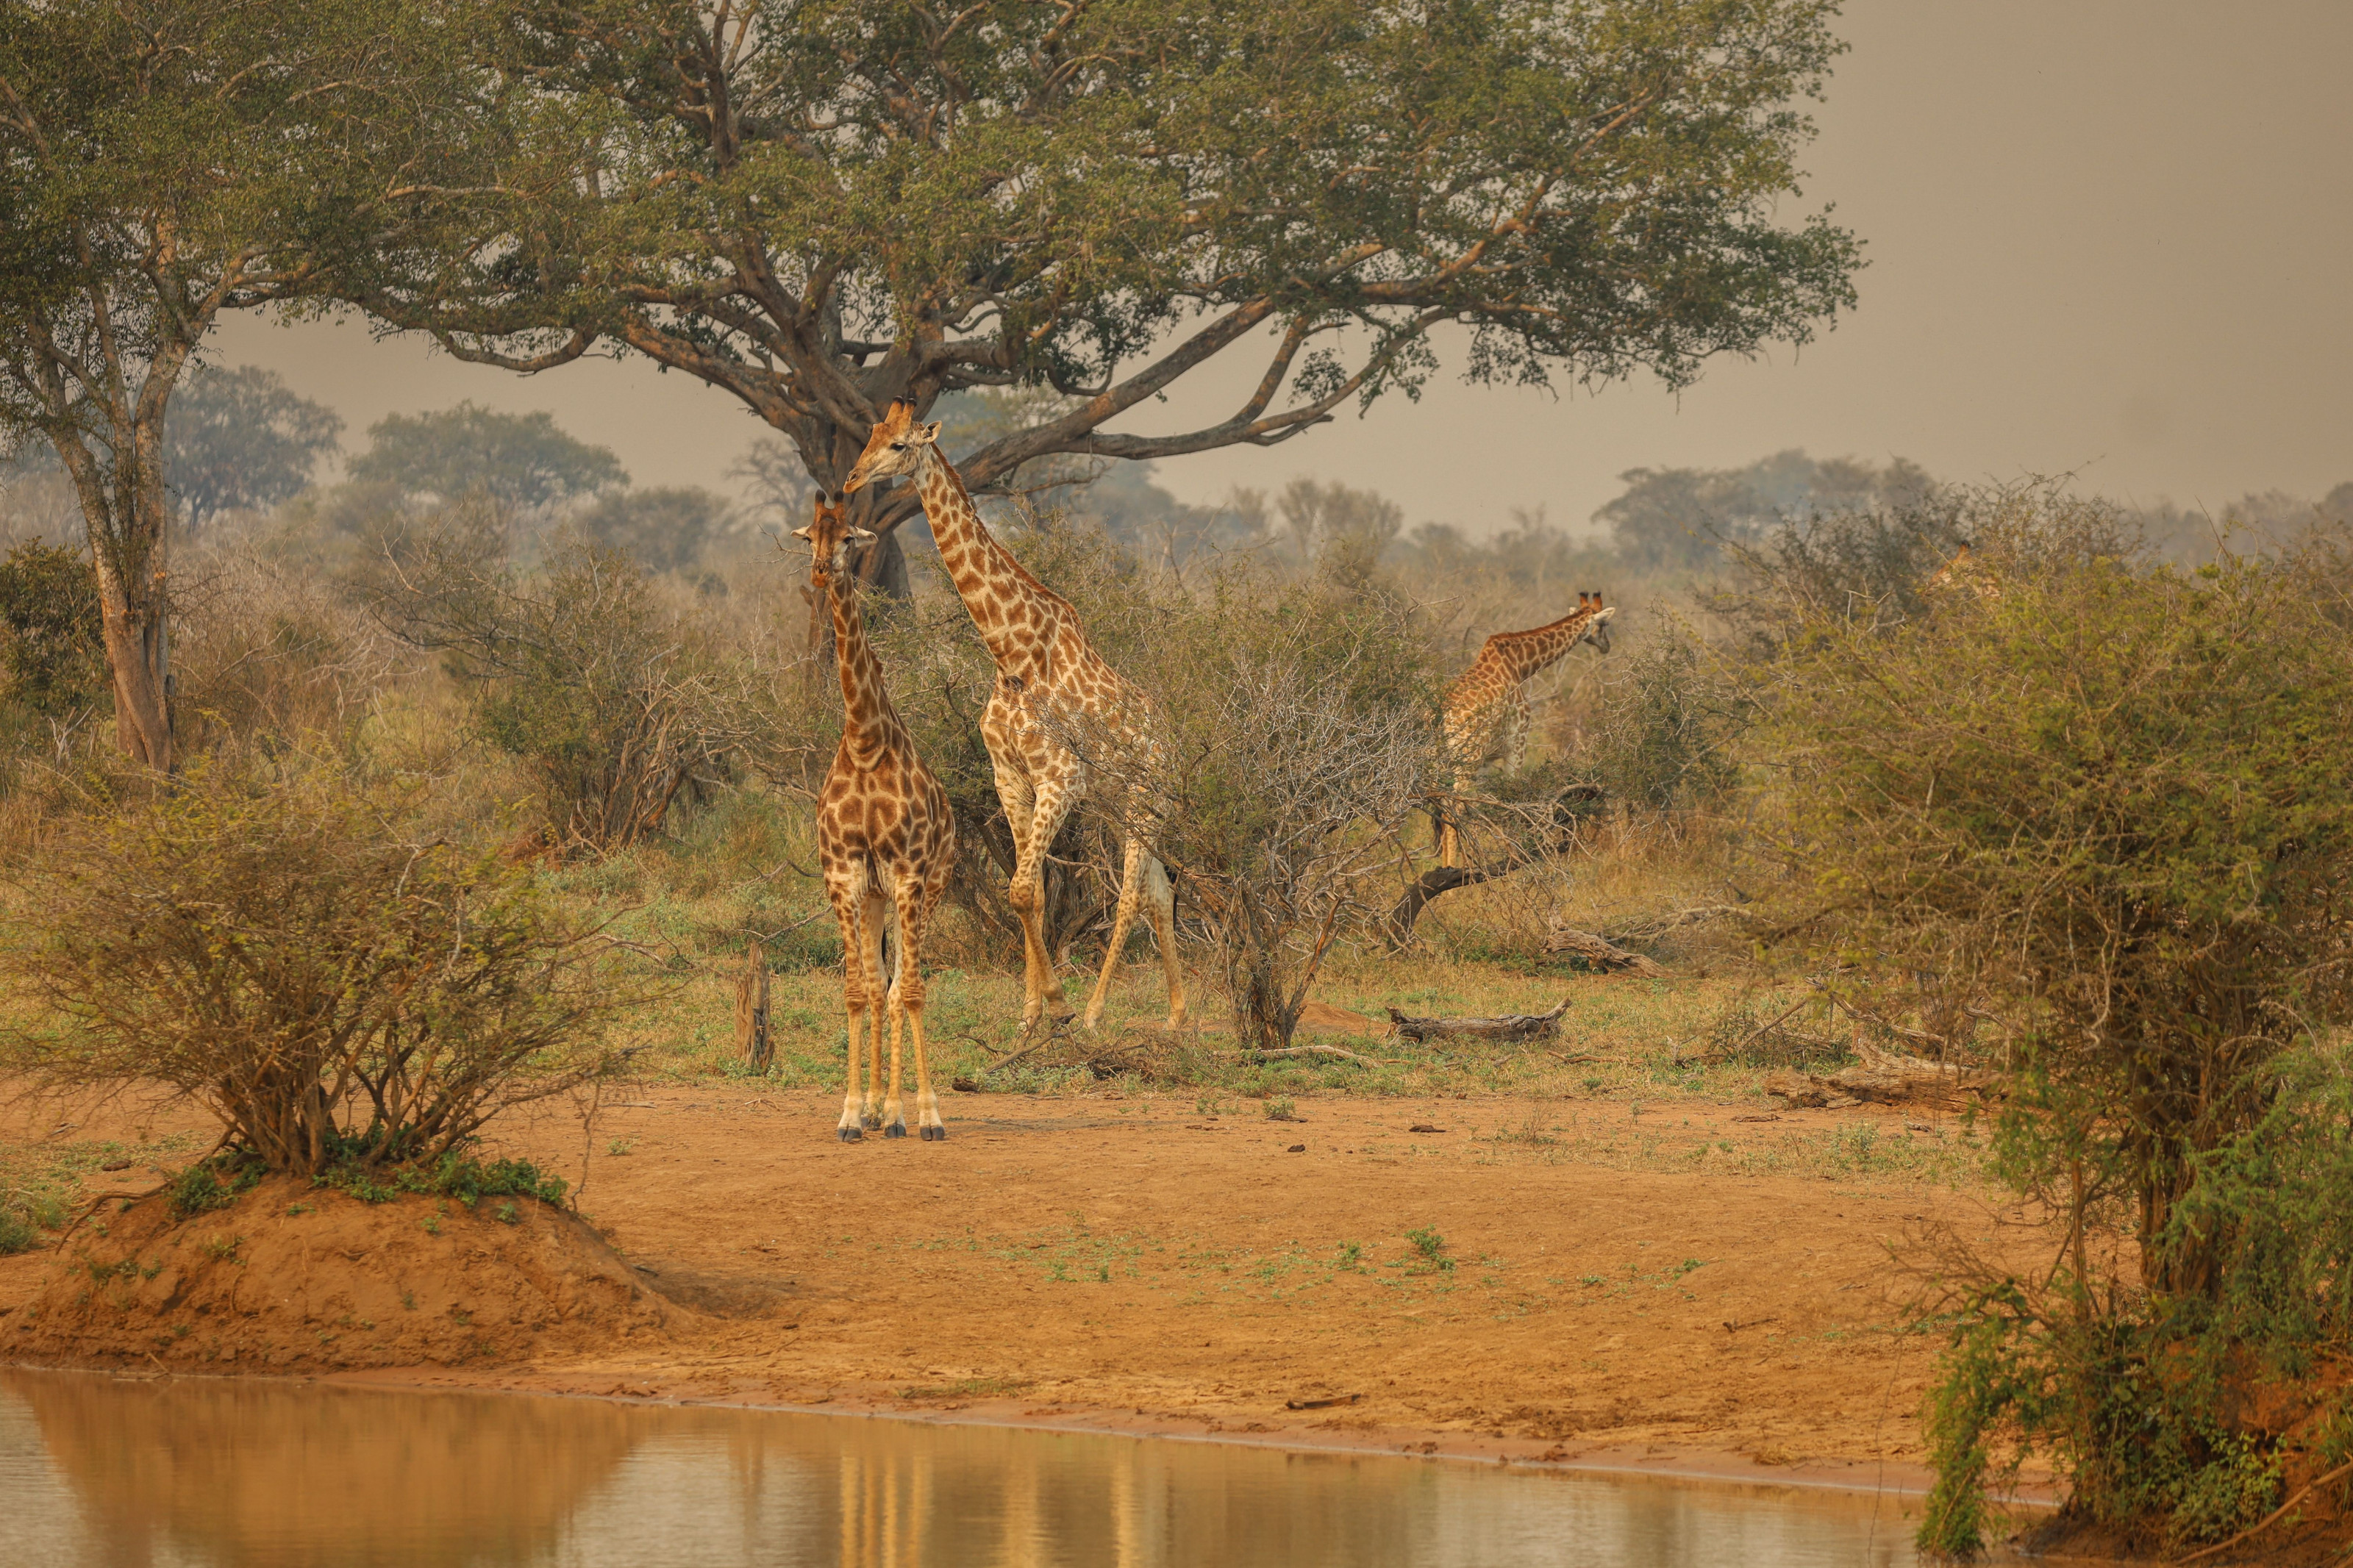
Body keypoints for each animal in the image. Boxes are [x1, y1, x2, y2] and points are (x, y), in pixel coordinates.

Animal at [841, 399, 1186, 1033]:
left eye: (900, 445)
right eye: (872, 434)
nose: (852, 480)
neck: (1014, 654)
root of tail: (1174, 746)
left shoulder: (1060, 778)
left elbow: (1025, 891)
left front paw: (1060, 1006)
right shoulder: (1012, 778)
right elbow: (1030, 893)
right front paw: (1030, 1015)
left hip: (1148, 802)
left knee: (1130, 895)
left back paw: (1097, 1013)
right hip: (1121, 805)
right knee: (1158, 892)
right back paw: (1176, 1016)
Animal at [1435, 592, 1616, 867]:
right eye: (1604, 625)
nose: (1606, 646)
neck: (1522, 666)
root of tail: (1440, 713)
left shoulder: (1488, 759)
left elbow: (1479, 808)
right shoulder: (1517, 743)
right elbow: (1514, 798)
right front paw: (1513, 859)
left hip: (1439, 760)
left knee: (1441, 805)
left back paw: (1447, 867)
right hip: (1466, 757)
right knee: (1453, 805)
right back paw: (1454, 873)